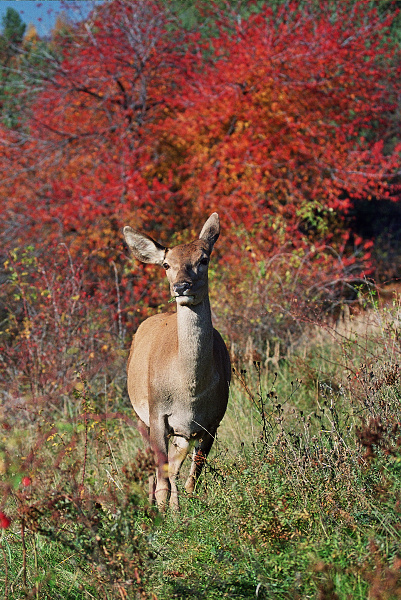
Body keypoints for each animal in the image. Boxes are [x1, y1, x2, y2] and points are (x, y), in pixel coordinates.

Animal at [122, 213, 231, 508]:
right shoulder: (158, 413)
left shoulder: (212, 421)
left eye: (203, 259)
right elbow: (162, 479)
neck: (190, 390)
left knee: (174, 467)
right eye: (166, 264)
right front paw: (162, 514)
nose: (181, 286)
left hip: (182, 433)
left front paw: (184, 510)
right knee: (156, 471)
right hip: (141, 416)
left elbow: (191, 477)